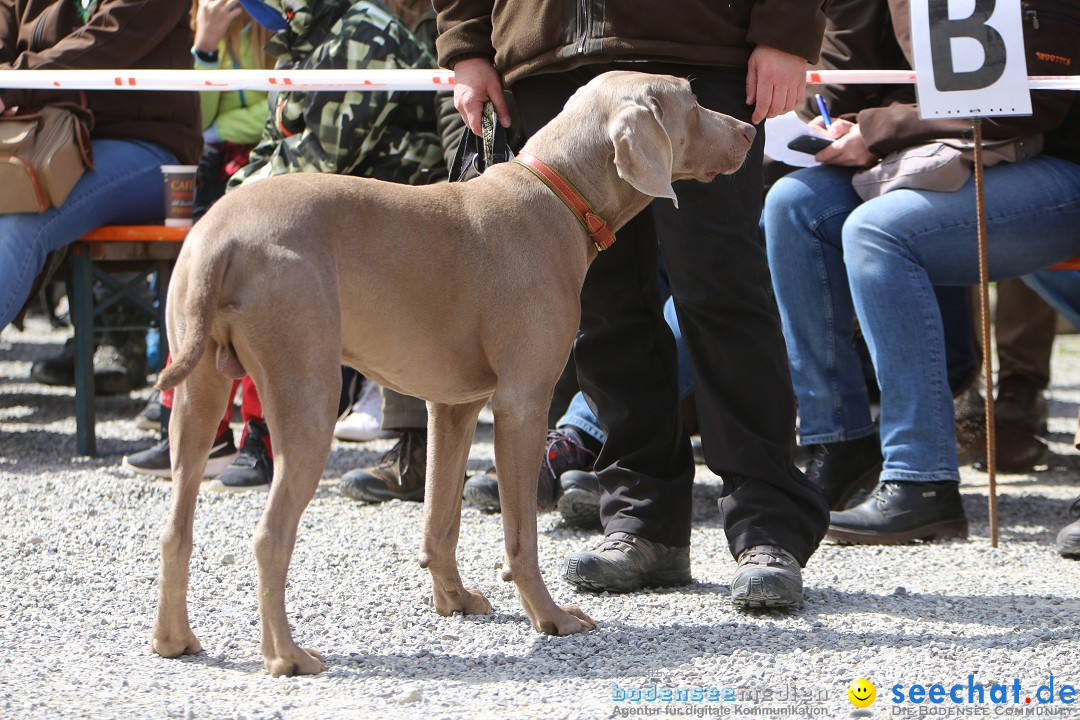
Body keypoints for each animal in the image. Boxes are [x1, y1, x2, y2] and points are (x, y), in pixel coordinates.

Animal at [147, 71, 756, 677]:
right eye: (692, 101)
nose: (750, 129)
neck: (557, 195)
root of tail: (221, 236)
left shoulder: (454, 405)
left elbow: (440, 518)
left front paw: (454, 601)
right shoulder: (521, 403)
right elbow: (521, 536)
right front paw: (550, 616)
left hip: (198, 395)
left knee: (175, 527)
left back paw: (174, 640)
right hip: (307, 395)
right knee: (270, 535)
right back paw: (287, 656)